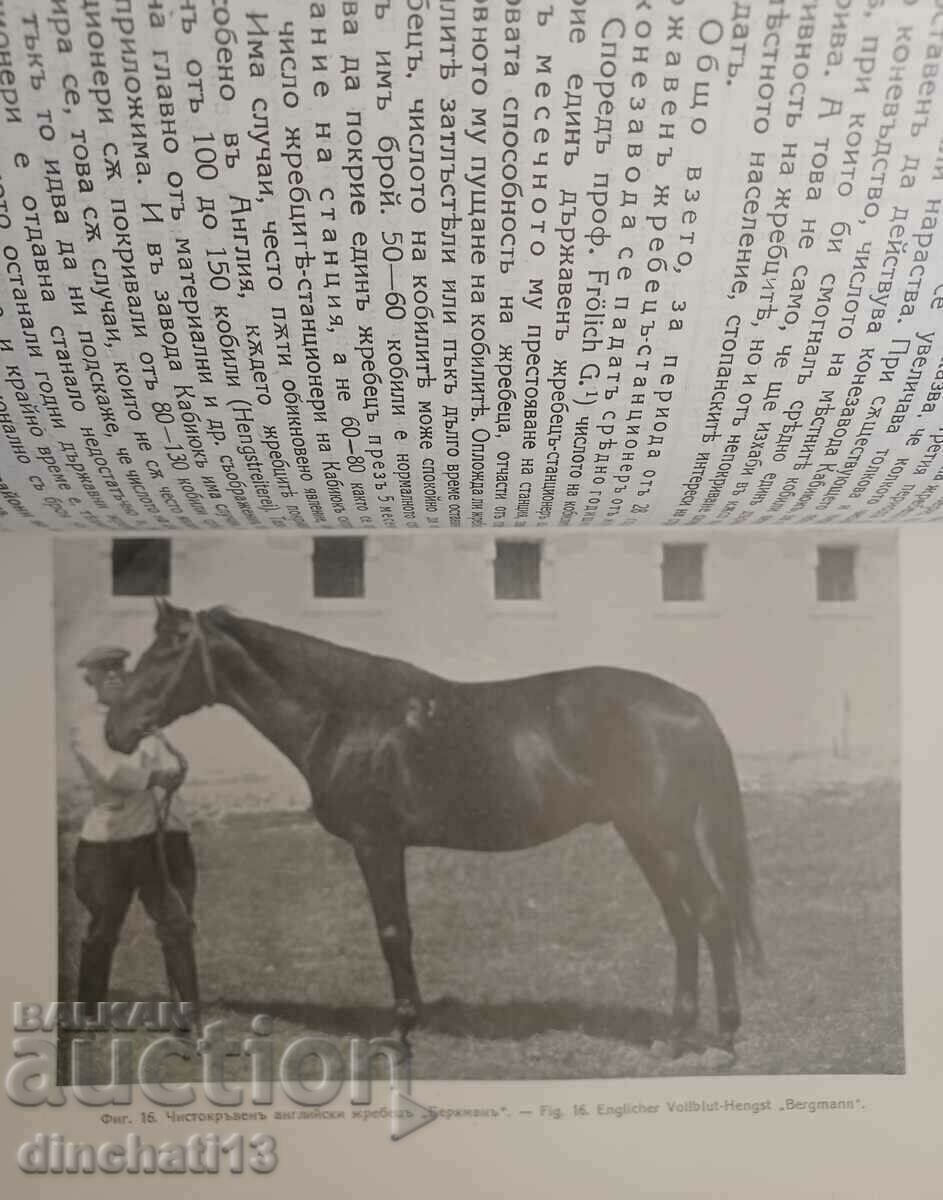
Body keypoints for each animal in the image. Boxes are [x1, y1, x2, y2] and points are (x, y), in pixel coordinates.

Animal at [105, 600, 764, 1055]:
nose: (115, 729)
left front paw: (401, 1031)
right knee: (682, 922)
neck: (345, 712)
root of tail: (691, 703)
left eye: (169, 651)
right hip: (643, 836)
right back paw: (676, 1035)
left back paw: (726, 1037)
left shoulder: (376, 842)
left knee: (709, 914)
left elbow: (393, 932)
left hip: (665, 835)